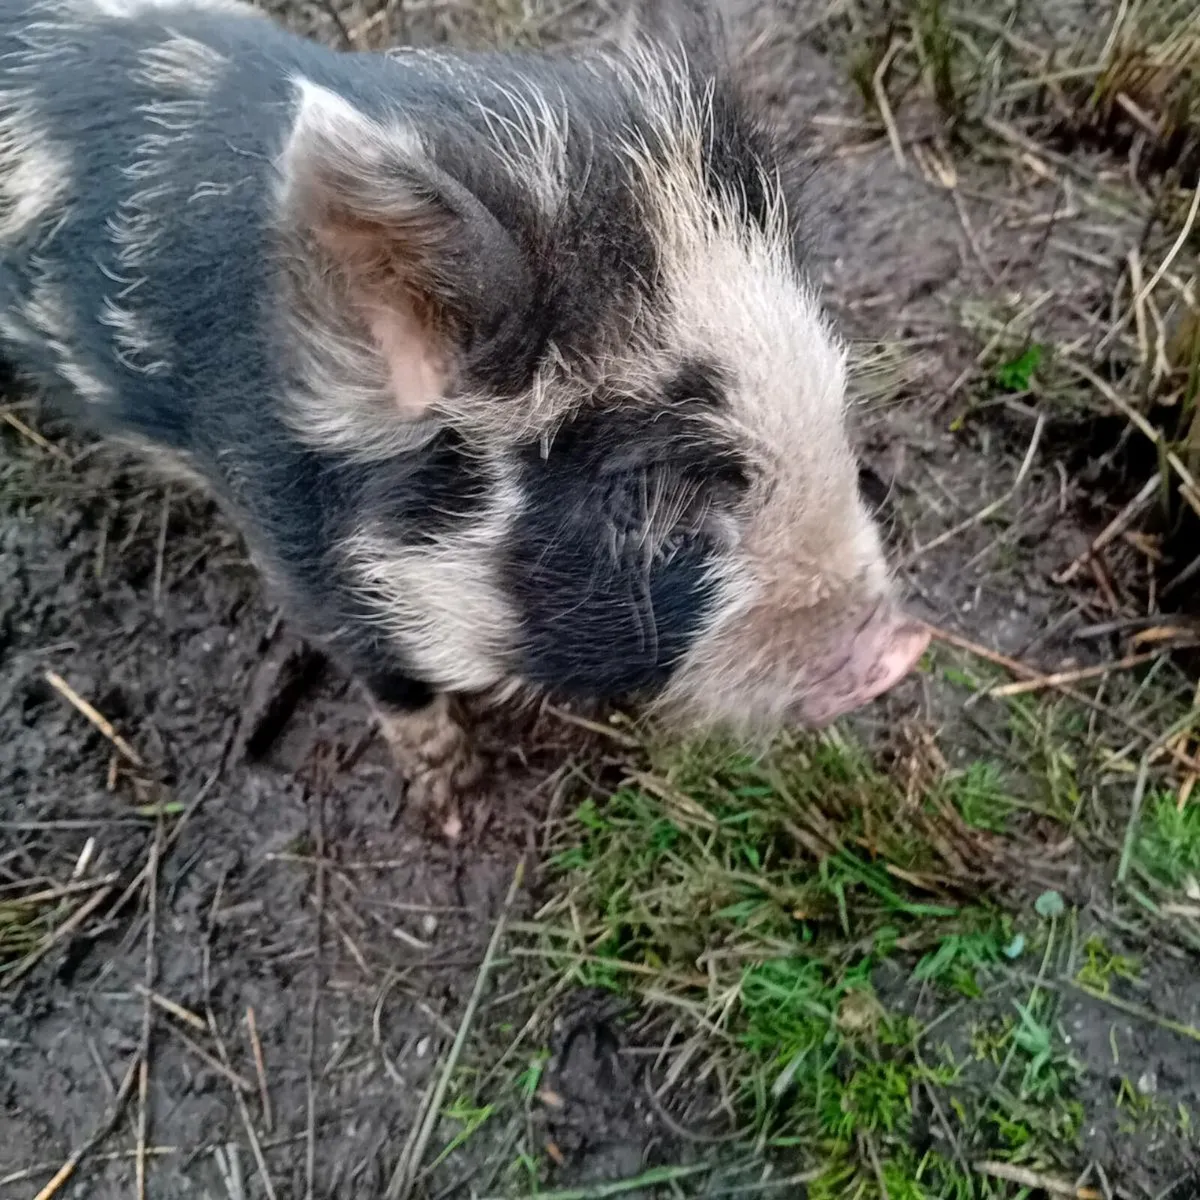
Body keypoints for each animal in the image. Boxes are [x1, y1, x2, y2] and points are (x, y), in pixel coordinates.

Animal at [0, 0, 929, 834]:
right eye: (645, 491)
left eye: (834, 406)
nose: (900, 650)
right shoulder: (290, 542)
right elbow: (390, 678)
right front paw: (452, 809)